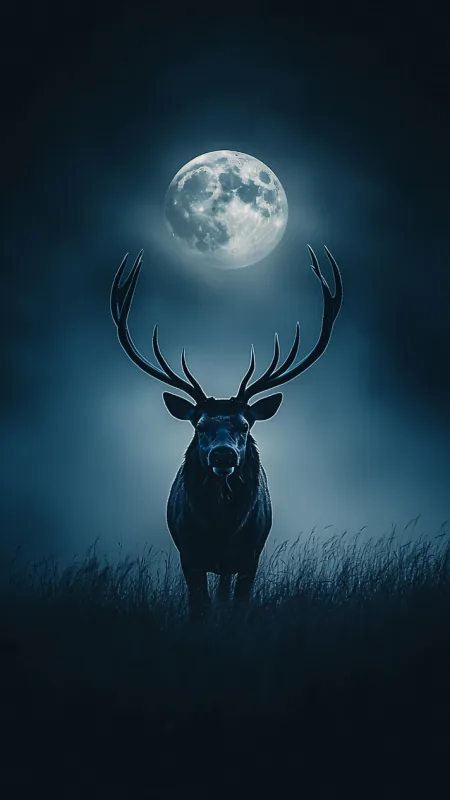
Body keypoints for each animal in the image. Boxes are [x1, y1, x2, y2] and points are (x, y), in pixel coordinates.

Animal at [111, 245, 343, 620]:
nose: (223, 454)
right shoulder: (189, 555)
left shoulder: (250, 557)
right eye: (200, 425)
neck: (221, 529)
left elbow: (238, 605)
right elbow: (199, 608)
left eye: (244, 425)